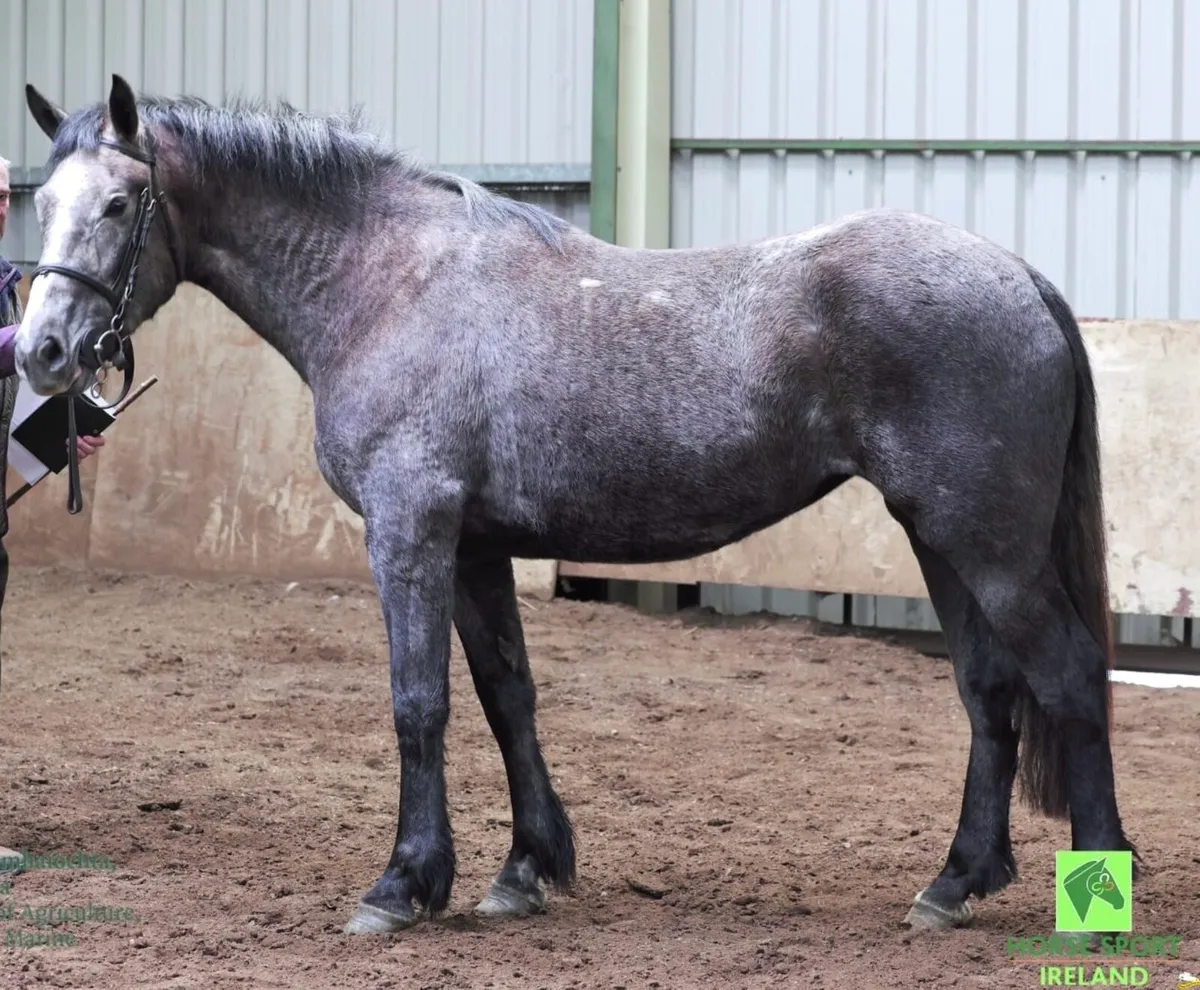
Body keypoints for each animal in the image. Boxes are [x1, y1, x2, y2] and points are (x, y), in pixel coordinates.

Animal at [15, 74, 1137, 936]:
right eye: (40, 201)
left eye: (119, 203)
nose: (42, 353)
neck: (390, 282)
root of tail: (1019, 275)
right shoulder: (474, 546)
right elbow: (507, 696)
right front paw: (523, 871)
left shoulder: (411, 532)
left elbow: (419, 703)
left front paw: (401, 885)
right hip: (941, 538)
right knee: (989, 693)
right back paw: (953, 884)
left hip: (988, 544)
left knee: (1070, 677)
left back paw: (1096, 894)